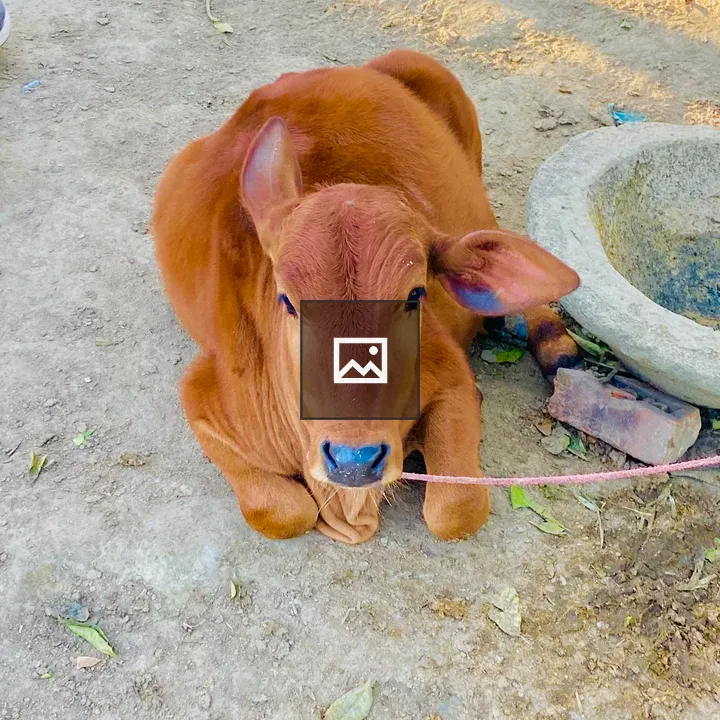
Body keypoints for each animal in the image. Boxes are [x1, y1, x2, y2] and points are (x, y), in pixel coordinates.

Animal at [151, 50, 581, 545]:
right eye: (288, 302)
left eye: (414, 297)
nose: (354, 461)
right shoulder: (201, 388)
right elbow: (283, 511)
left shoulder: (452, 379)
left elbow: (456, 509)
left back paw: (551, 341)